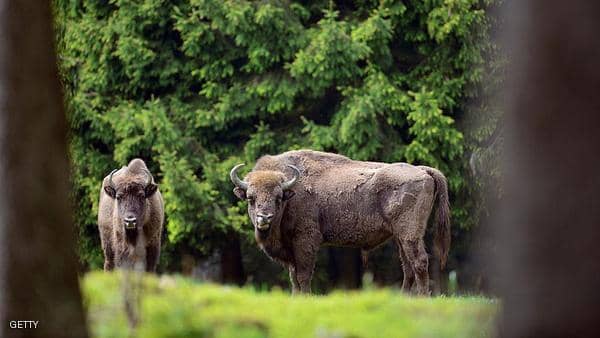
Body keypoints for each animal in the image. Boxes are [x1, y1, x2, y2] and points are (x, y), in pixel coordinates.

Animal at [231, 149, 450, 294]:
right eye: (250, 198)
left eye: (278, 198)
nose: (264, 218)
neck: (291, 193)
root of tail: (423, 171)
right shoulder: (291, 250)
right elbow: (294, 277)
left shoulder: (306, 241)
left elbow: (303, 275)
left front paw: (306, 297)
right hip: (400, 237)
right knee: (408, 267)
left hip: (409, 234)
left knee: (419, 262)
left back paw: (422, 298)